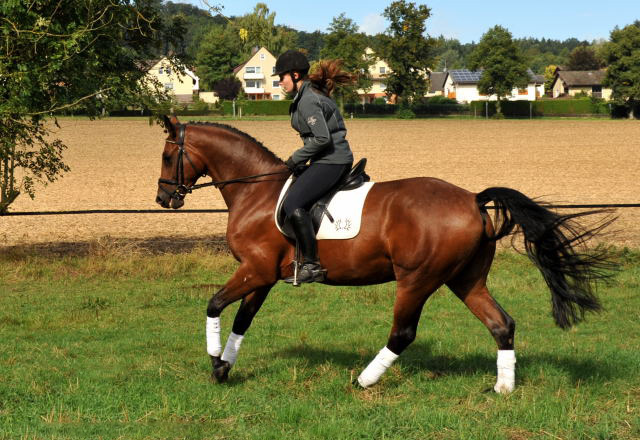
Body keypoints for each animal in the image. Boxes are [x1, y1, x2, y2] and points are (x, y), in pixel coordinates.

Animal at [155, 115, 616, 394]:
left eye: (166, 155)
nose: (163, 199)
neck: (256, 190)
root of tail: (472, 199)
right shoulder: (263, 276)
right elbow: (242, 320)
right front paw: (223, 367)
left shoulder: (255, 270)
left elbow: (214, 306)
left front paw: (214, 358)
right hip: (466, 279)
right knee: (501, 324)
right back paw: (503, 388)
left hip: (417, 279)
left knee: (403, 333)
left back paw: (363, 381)